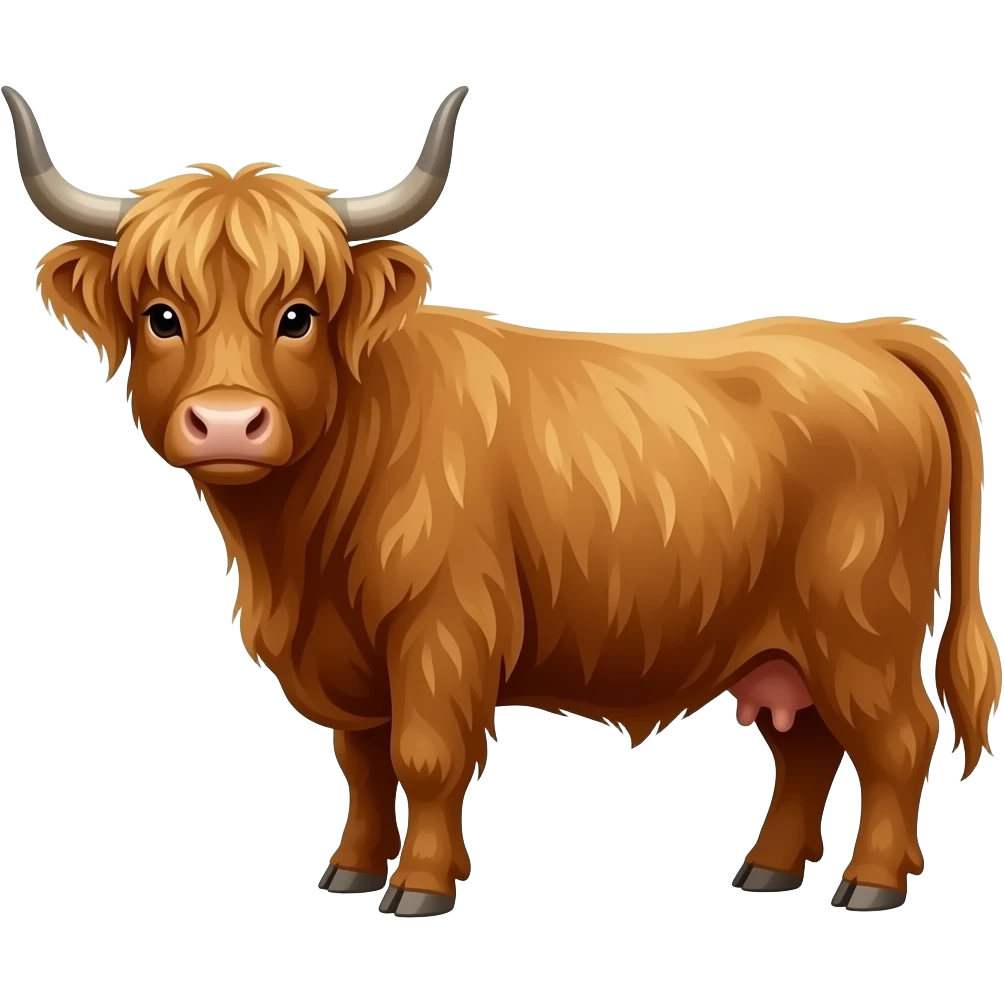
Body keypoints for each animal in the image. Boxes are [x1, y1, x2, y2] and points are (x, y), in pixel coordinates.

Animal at [6, 83, 1000, 919]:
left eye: (299, 316)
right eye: (161, 315)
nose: (225, 422)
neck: (296, 554)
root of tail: (865, 338)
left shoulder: (443, 631)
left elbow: (425, 757)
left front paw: (418, 887)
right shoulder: (347, 661)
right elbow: (362, 764)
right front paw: (351, 869)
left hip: (861, 626)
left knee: (899, 737)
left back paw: (870, 885)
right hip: (782, 645)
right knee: (806, 748)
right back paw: (767, 871)